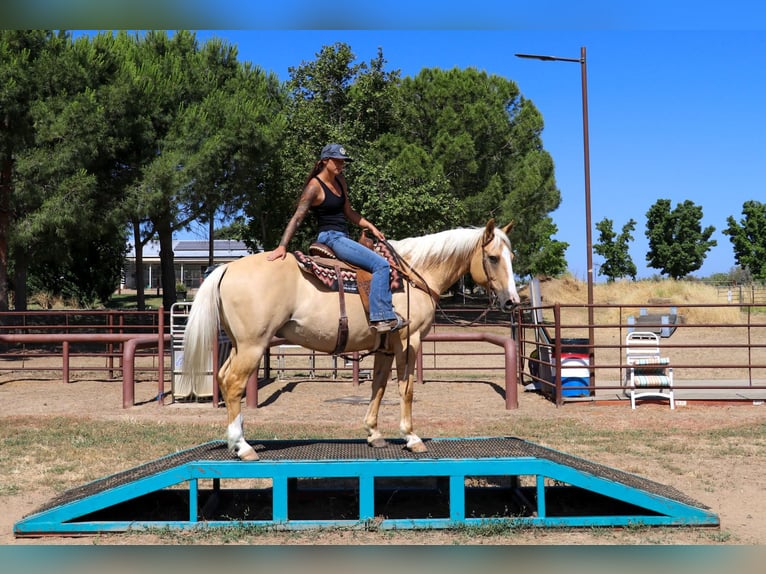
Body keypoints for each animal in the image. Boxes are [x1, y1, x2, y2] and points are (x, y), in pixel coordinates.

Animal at [178, 219, 520, 461]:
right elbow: (406, 389)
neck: (414, 276)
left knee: (224, 378)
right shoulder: (409, 342)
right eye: (492, 258)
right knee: (234, 382)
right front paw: (411, 437)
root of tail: (226, 268)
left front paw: (373, 433)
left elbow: (378, 386)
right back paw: (242, 446)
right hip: (252, 345)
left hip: (239, 344)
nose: (512, 302)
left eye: (511, 256)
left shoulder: (385, 347)